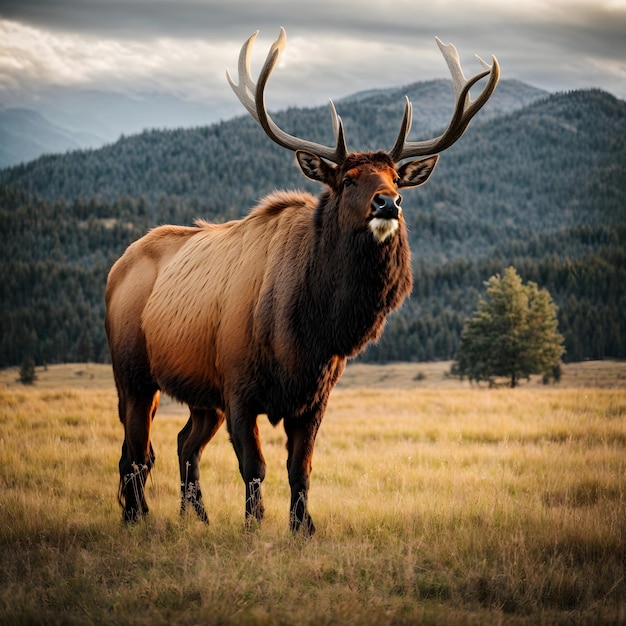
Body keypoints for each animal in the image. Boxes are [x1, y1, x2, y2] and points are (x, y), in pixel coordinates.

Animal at [106, 29, 498, 532]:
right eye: (348, 179)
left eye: (396, 178)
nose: (388, 203)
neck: (307, 331)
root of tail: (116, 268)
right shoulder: (238, 386)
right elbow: (255, 467)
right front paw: (254, 526)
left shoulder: (315, 394)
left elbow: (301, 468)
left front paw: (302, 528)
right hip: (133, 374)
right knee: (136, 451)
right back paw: (136, 516)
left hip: (201, 395)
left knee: (180, 443)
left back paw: (197, 517)